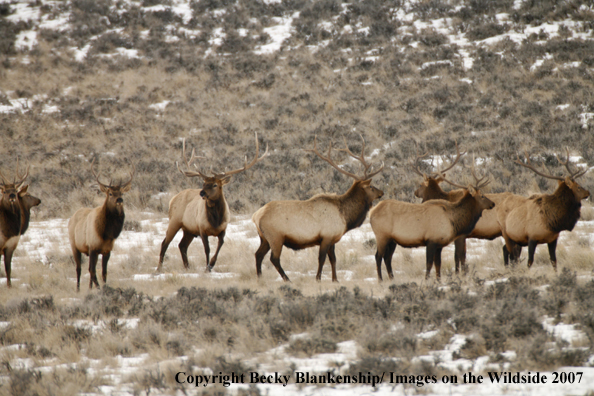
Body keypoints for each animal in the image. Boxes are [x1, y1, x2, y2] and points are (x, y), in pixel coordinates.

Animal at [67, 160, 134, 290]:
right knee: (79, 268)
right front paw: (100, 288)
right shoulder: (92, 247)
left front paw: (102, 286)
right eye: (110, 193)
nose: (119, 200)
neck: (106, 234)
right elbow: (92, 271)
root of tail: (71, 218)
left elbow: (104, 272)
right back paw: (78, 289)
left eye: (122, 193)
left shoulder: (106, 250)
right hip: (74, 245)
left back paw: (89, 288)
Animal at [157, 133, 268, 272]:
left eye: (215, 184)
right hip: (175, 221)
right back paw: (159, 268)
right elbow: (207, 249)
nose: (202, 193)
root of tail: (173, 199)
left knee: (182, 245)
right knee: (165, 243)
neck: (216, 221)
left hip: (188, 230)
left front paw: (211, 264)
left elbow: (220, 246)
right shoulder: (202, 229)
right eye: (204, 183)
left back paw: (187, 267)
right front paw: (207, 267)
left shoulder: (223, 229)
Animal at [251, 136, 384, 282]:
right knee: (274, 259)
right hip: (275, 237)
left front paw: (335, 279)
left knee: (258, 254)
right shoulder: (326, 237)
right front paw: (318, 278)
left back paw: (260, 278)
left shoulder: (332, 239)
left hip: (264, 238)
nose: (382, 192)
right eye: (371, 187)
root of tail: (256, 216)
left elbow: (333, 260)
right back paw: (287, 279)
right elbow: (322, 259)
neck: (345, 216)